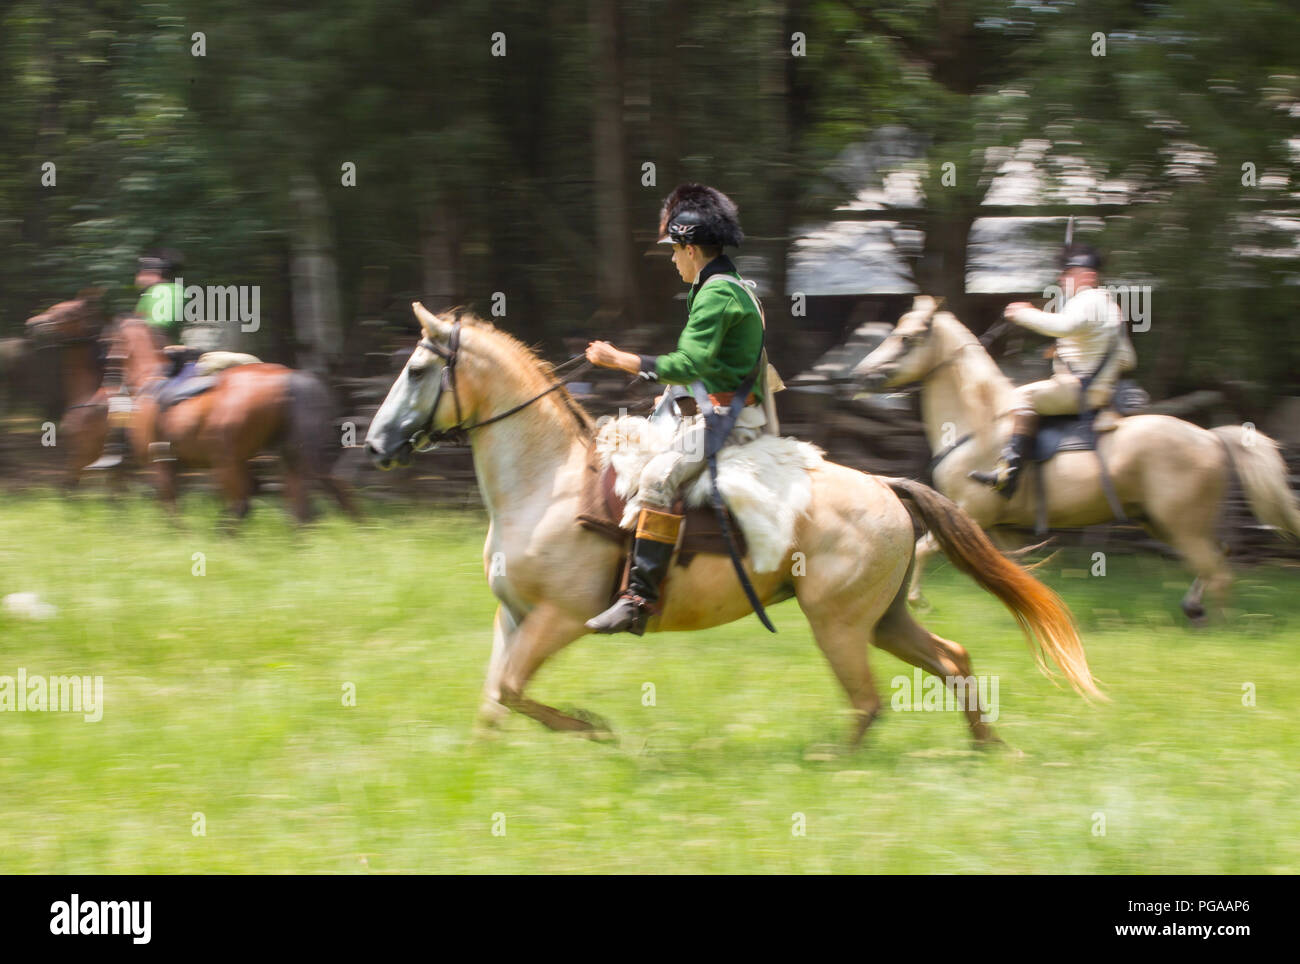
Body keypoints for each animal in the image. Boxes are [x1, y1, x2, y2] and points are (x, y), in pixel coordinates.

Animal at [101, 319, 358, 524]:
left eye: (111, 341)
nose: (108, 379)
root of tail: (287, 378)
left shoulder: (159, 465)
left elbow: (170, 506)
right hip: (292, 455)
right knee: (325, 490)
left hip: (228, 461)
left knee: (246, 502)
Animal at [852, 298, 1300, 623]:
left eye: (906, 338)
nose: (860, 375)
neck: (976, 424)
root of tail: (1211, 436)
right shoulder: (1002, 528)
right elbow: (1019, 568)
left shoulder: (970, 512)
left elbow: (926, 547)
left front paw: (917, 602)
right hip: (1167, 523)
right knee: (1215, 561)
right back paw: (1195, 609)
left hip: (1182, 525)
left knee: (1217, 570)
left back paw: (1218, 626)